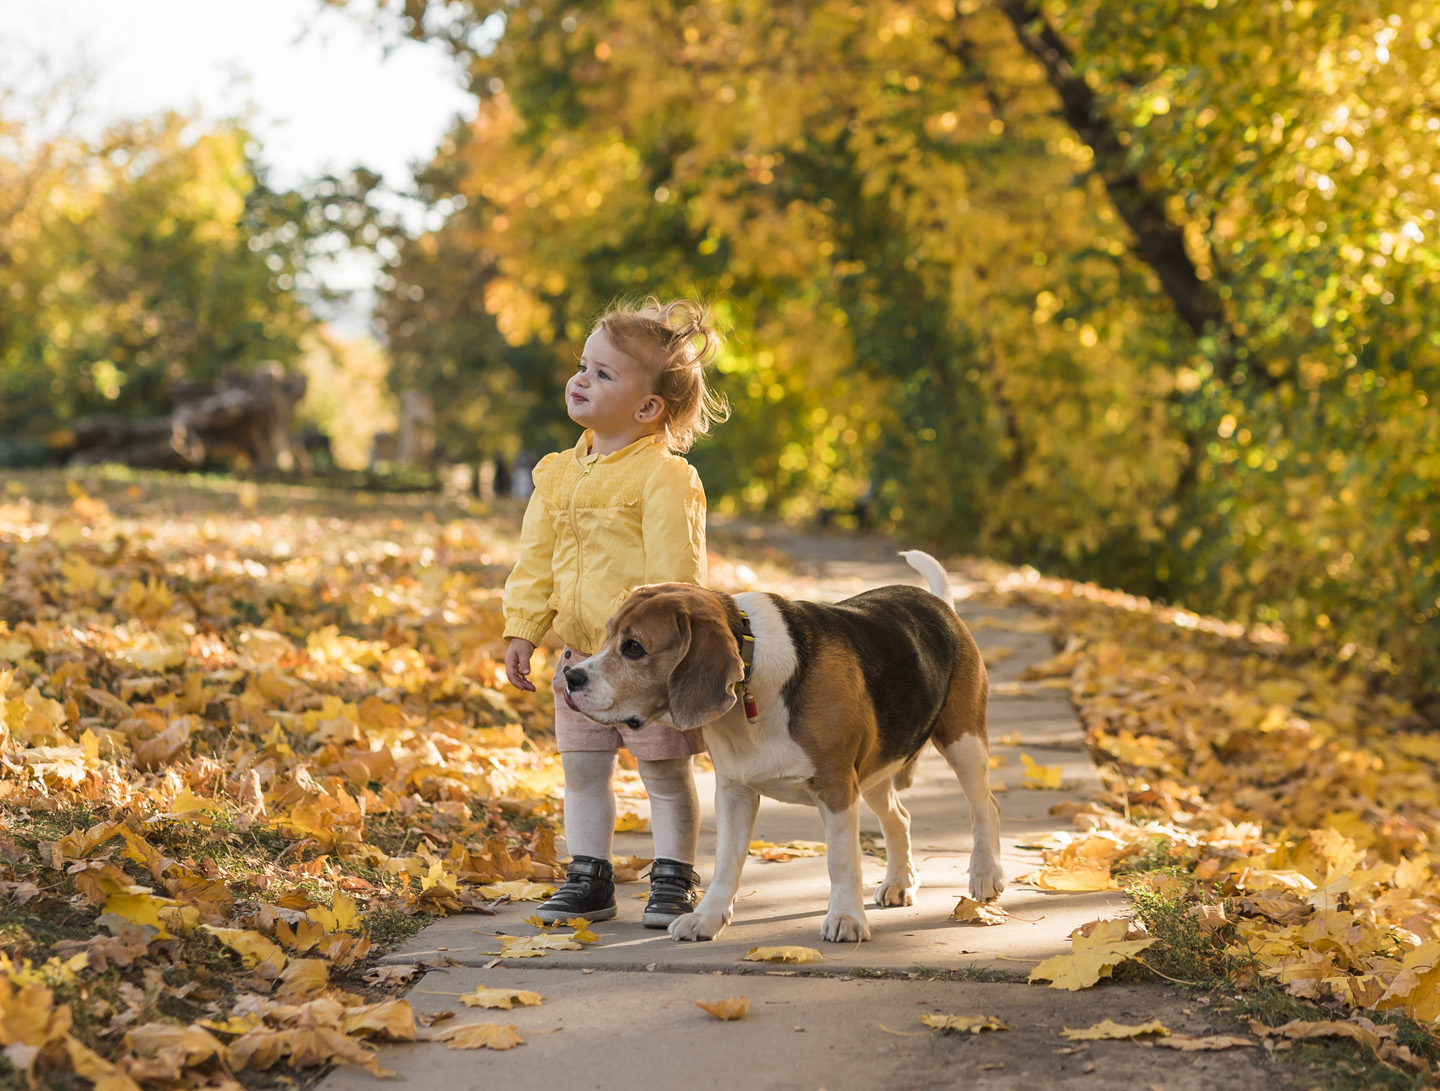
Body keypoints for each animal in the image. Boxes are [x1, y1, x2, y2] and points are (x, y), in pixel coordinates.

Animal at [558, 549, 1002, 944]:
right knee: (900, 817)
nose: (570, 677)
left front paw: (846, 918)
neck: (751, 671)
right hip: (876, 770)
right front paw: (706, 919)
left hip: (962, 742)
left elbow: (842, 860)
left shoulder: (837, 787)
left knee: (985, 808)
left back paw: (985, 876)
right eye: (607, 636)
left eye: (634, 647)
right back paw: (900, 882)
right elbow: (727, 862)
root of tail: (939, 604)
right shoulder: (735, 791)